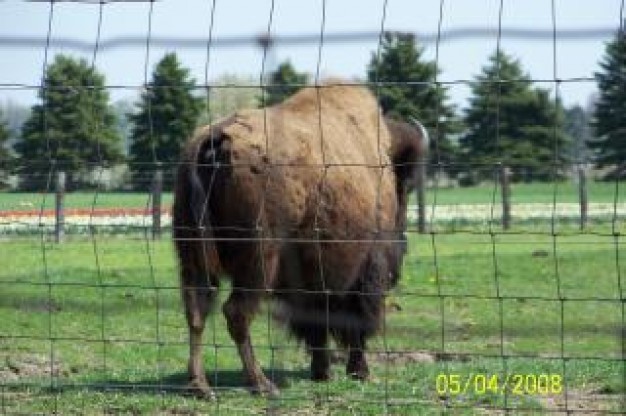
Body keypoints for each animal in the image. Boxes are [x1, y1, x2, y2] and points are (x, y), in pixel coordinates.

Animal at [173, 80, 426, 396]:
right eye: (405, 186)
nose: (402, 245)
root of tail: (215, 140)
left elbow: (315, 326)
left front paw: (322, 372)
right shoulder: (366, 271)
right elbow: (357, 322)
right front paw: (360, 372)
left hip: (193, 257)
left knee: (196, 311)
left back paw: (200, 385)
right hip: (259, 263)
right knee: (236, 313)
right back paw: (261, 384)